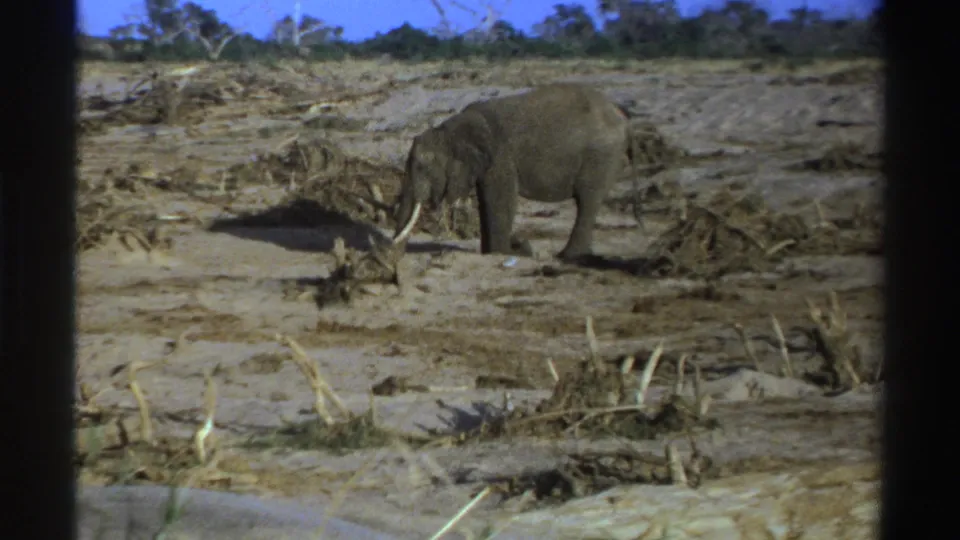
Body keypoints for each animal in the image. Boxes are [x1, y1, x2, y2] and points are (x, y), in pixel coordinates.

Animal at [391, 83, 637, 261]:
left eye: (422, 167)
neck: (448, 129)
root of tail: (622, 117)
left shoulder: (501, 157)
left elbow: (501, 200)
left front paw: (508, 252)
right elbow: (486, 201)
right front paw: (496, 252)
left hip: (601, 156)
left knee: (587, 201)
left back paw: (567, 256)